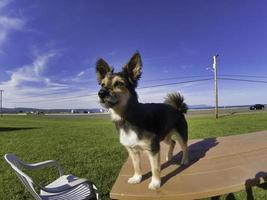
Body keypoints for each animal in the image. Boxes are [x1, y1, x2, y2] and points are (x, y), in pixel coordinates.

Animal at [95, 52, 189, 190]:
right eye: (102, 84)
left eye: (119, 84)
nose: (100, 93)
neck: (127, 118)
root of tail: (177, 108)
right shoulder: (133, 150)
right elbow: (136, 166)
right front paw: (137, 178)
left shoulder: (153, 148)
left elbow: (155, 168)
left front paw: (155, 183)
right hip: (164, 135)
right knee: (172, 142)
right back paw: (169, 156)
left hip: (181, 134)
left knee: (184, 147)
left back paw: (185, 160)